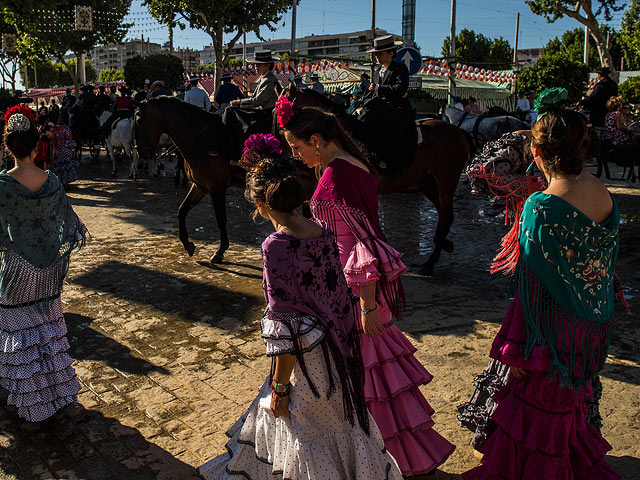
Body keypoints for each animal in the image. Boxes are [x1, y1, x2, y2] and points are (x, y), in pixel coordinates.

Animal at [282, 84, 472, 276]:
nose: (289, 156)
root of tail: (457, 131)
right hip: (428, 183)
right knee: (445, 215)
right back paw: (442, 246)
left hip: (446, 181)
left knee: (446, 217)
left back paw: (431, 261)